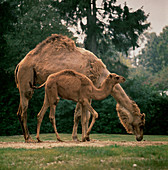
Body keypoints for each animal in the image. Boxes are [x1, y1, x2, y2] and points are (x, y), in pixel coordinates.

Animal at [14, 33, 145, 142]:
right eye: (141, 123)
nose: (140, 137)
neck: (100, 74)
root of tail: (19, 64)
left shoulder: (90, 93)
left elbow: (85, 115)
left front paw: (86, 137)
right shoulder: (83, 91)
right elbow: (79, 116)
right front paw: (78, 137)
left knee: (20, 110)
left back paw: (28, 137)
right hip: (26, 76)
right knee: (24, 108)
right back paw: (29, 138)